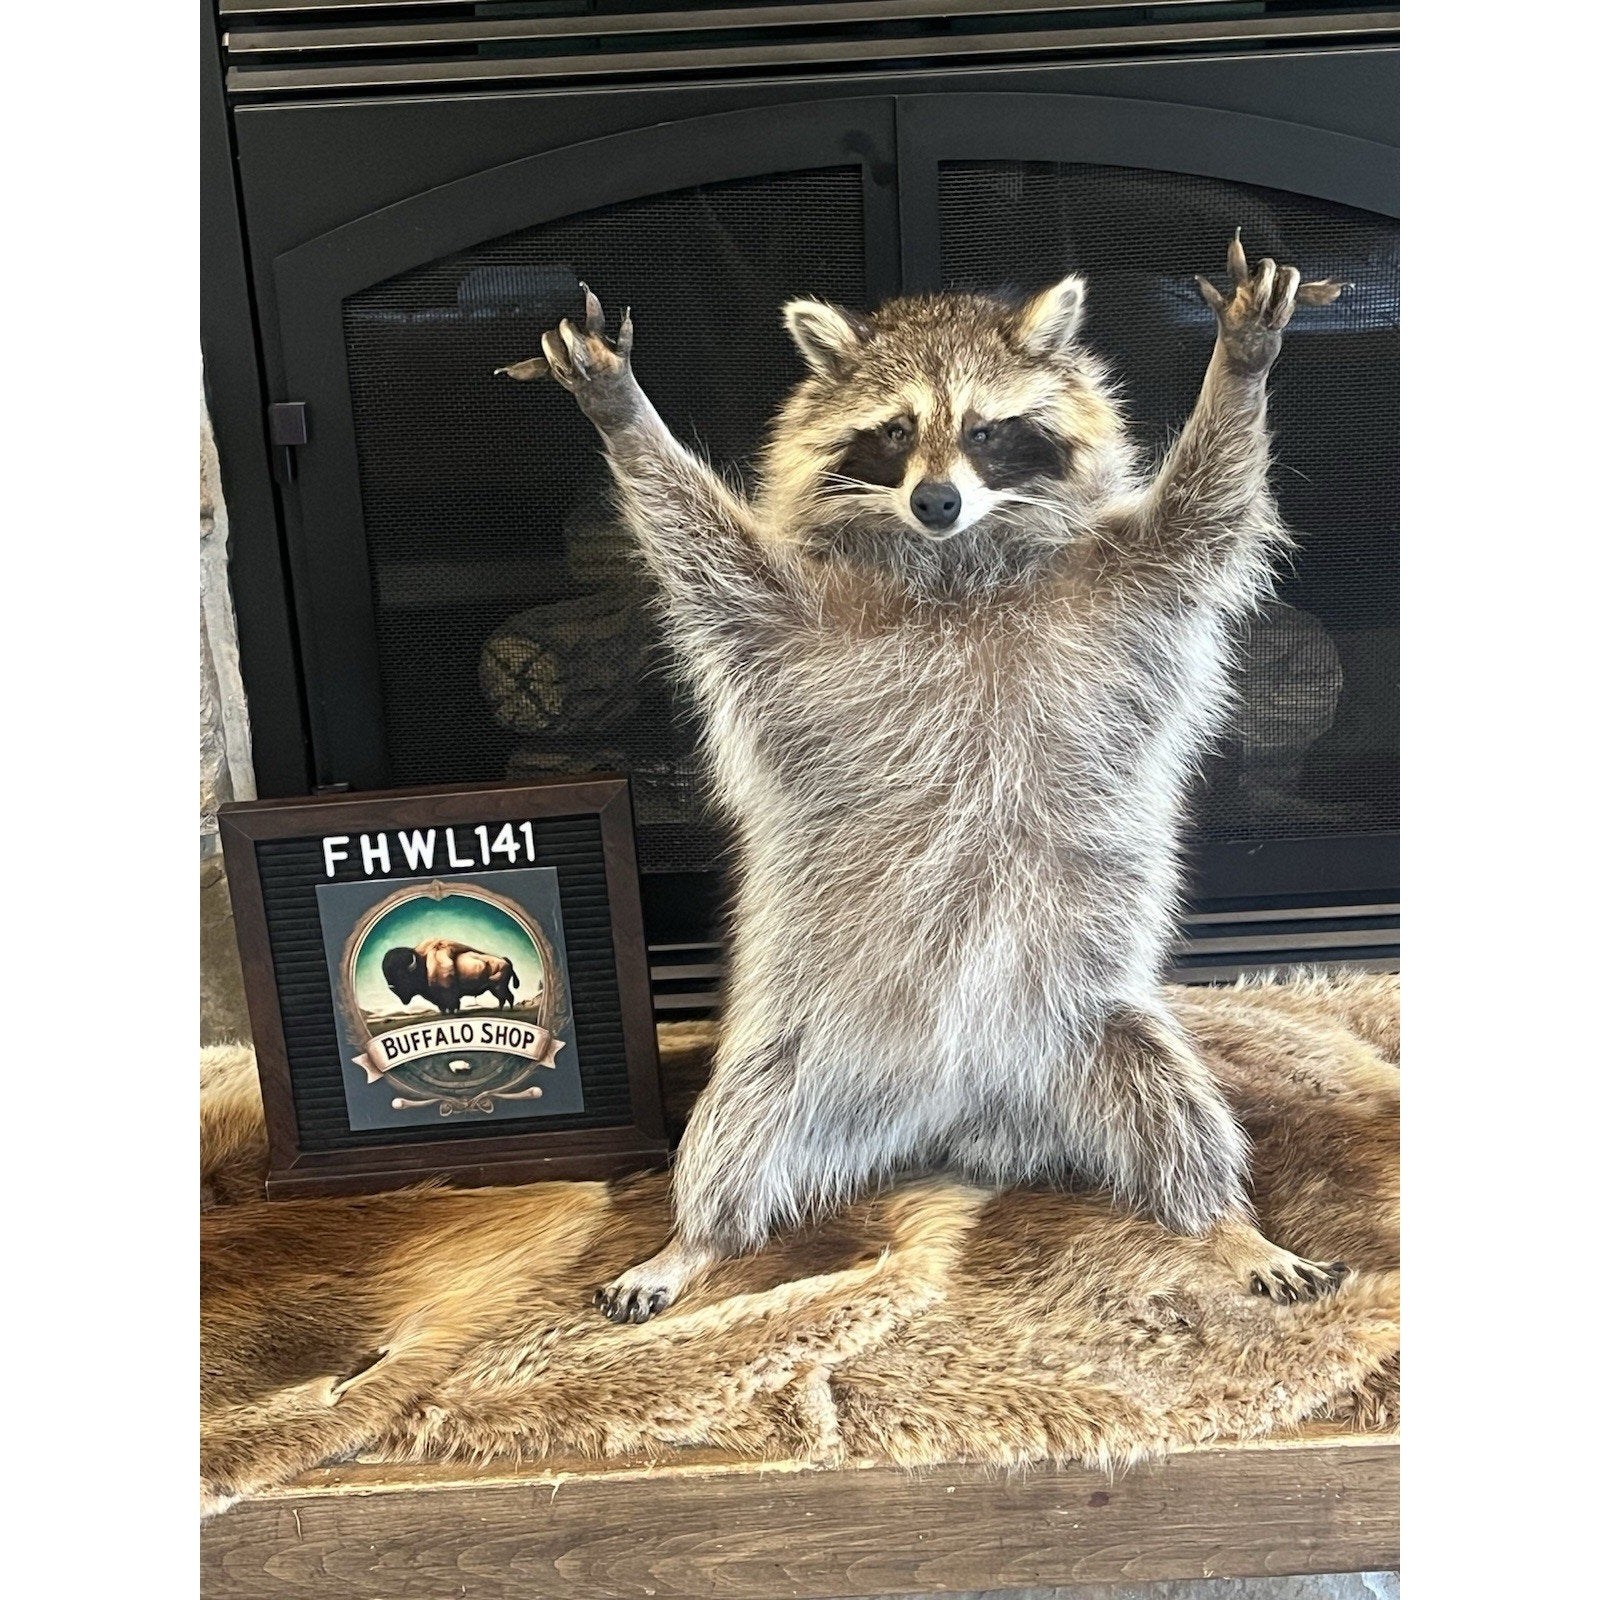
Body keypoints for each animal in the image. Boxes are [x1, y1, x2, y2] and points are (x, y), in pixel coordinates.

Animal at [499, 234, 1351, 1323]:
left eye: (987, 431)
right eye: (895, 431)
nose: (935, 499)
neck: (957, 566)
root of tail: (955, 1116)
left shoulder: (1128, 587)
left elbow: (1205, 508)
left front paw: (1237, 370)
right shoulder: (793, 618)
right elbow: (703, 547)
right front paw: (623, 412)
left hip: (1098, 1026)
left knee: (1175, 1106)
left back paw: (1221, 1220)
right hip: (794, 1052)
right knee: (734, 1128)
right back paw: (696, 1239)